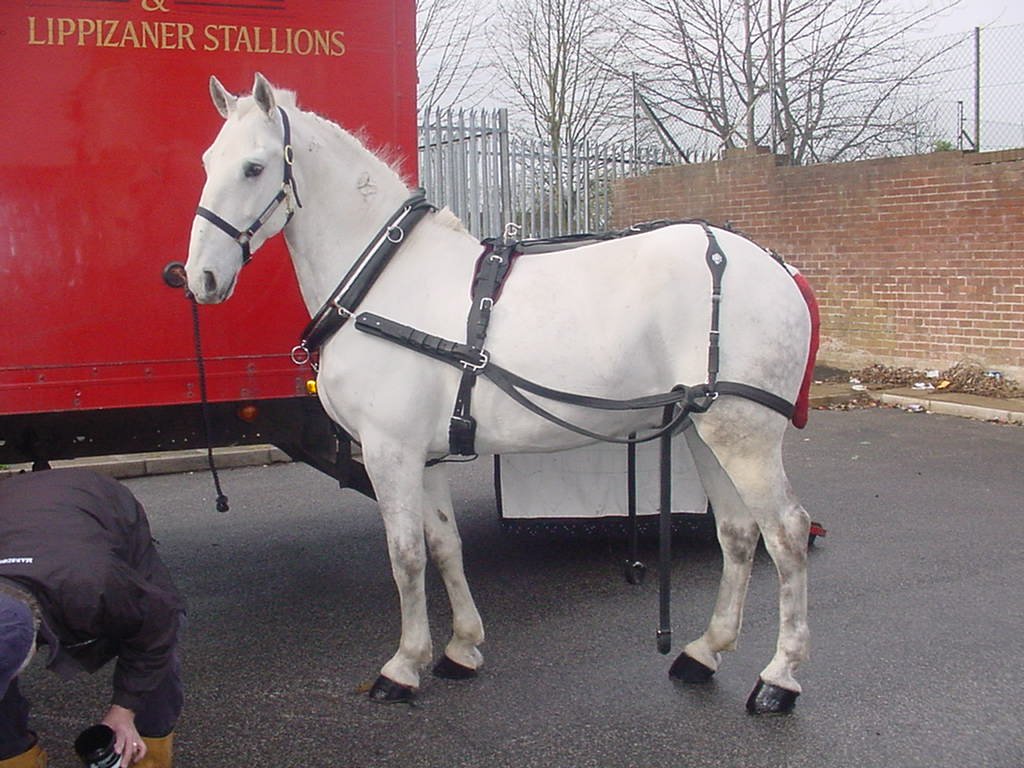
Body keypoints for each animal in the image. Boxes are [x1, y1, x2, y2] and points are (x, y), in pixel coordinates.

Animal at [184, 73, 817, 715]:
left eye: (255, 168)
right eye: (208, 161)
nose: (197, 278)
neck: (381, 282)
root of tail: (777, 267)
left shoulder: (390, 451)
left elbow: (405, 555)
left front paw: (402, 666)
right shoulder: (425, 454)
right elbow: (444, 545)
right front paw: (461, 647)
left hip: (743, 435)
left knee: (785, 534)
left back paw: (780, 677)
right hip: (701, 429)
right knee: (738, 533)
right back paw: (704, 652)